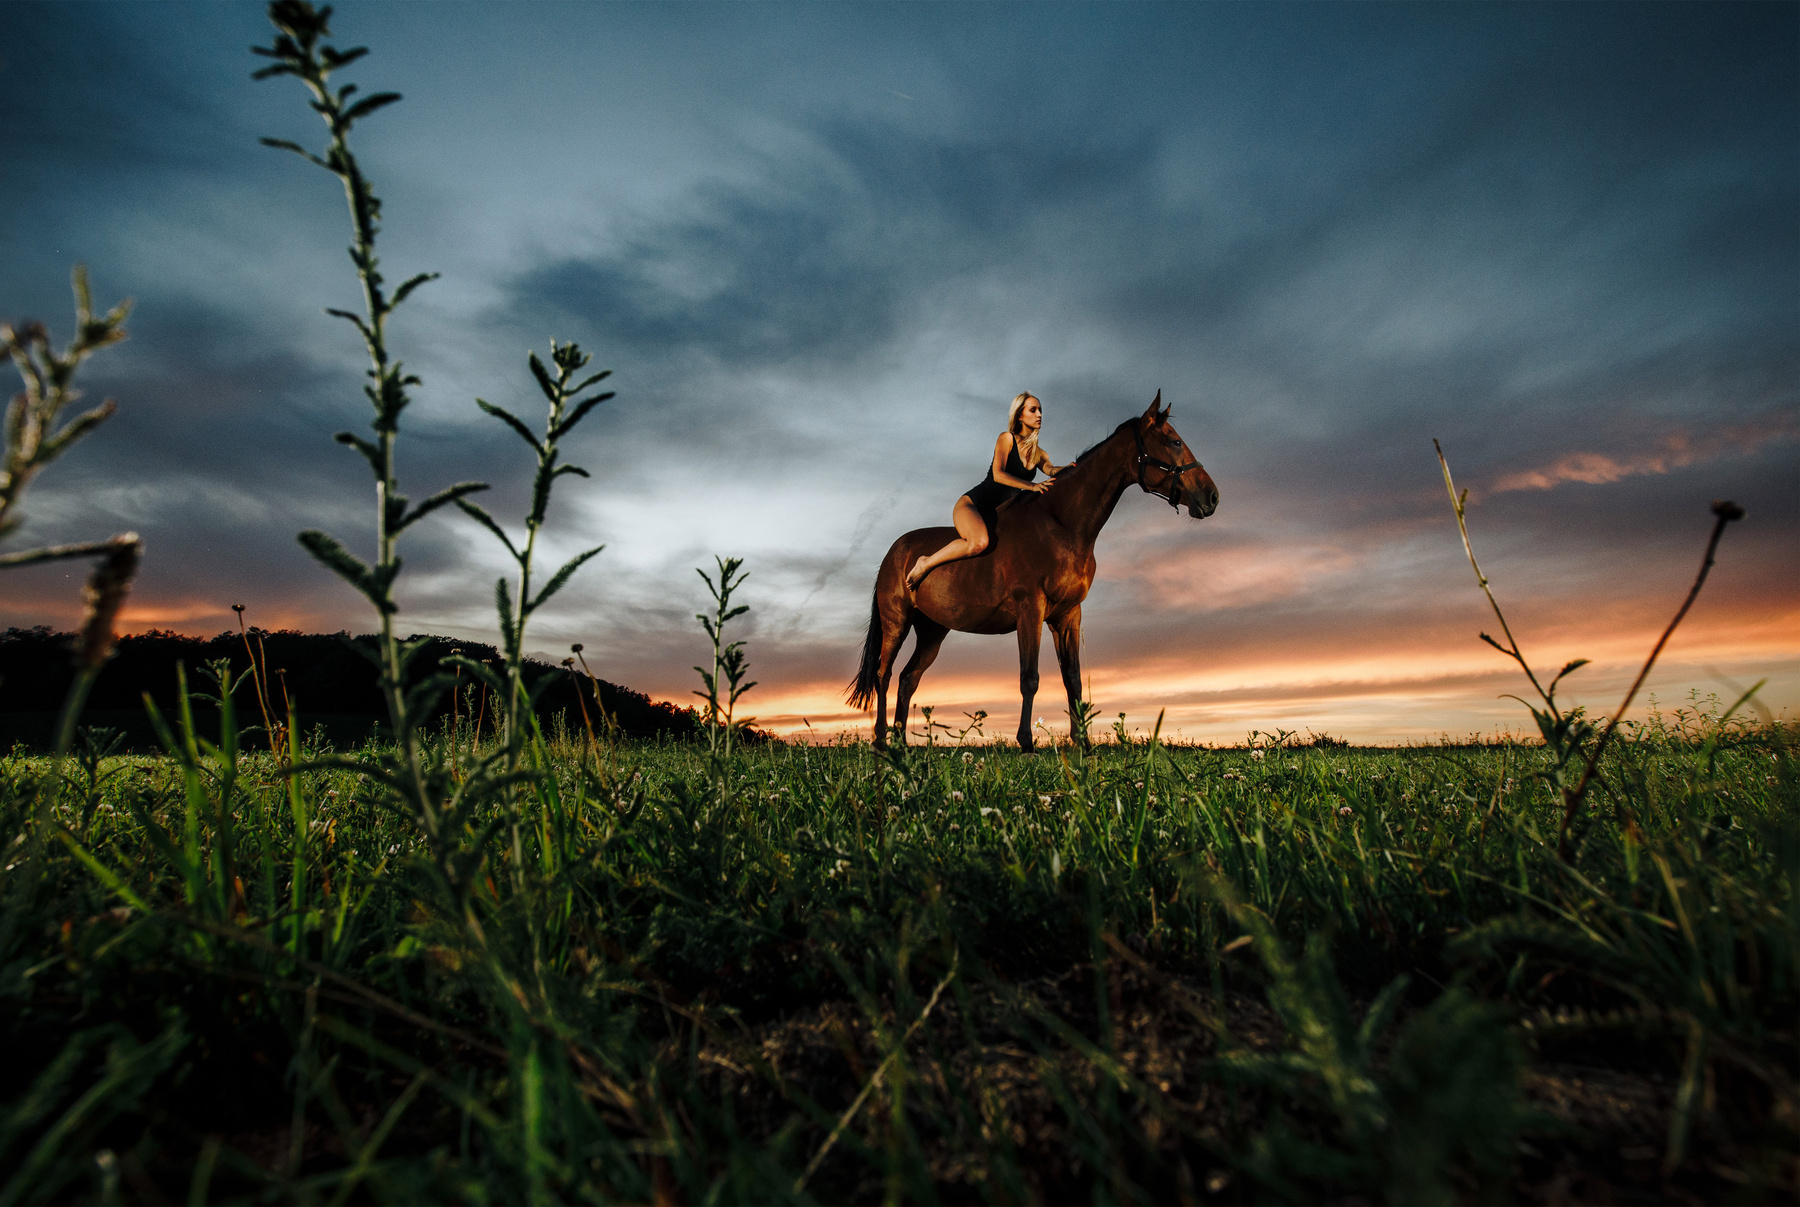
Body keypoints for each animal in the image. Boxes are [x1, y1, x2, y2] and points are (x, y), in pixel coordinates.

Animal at [846, 392, 1216, 751]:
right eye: (1174, 442)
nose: (1212, 496)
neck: (1062, 524)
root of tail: (895, 551)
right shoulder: (1031, 610)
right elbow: (1030, 677)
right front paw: (1026, 742)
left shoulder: (1068, 615)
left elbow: (1073, 679)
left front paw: (1081, 742)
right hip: (897, 623)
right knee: (883, 675)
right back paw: (881, 740)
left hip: (933, 631)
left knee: (908, 679)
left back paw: (900, 744)